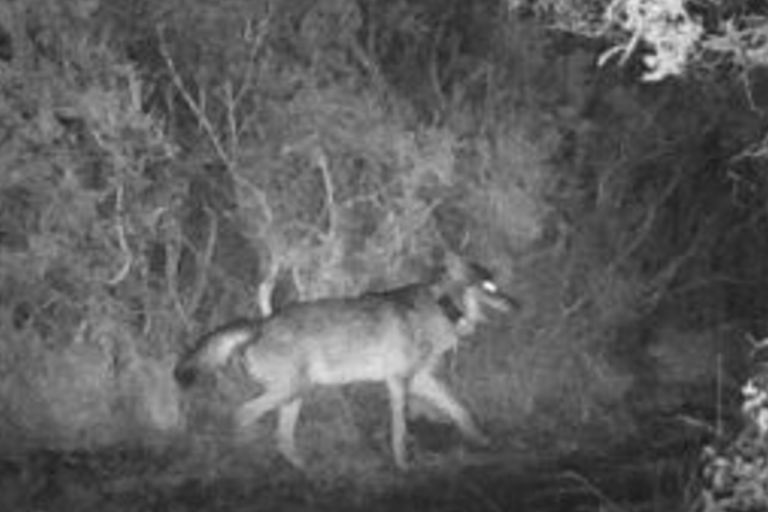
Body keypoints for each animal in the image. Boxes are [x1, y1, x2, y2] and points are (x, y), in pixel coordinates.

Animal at [174, 255, 519, 469]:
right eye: (488, 287)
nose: (516, 304)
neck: (442, 306)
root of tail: (260, 323)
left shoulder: (420, 379)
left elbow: (461, 409)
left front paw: (482, 440)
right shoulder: (399, 382)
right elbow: (400, 429)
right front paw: (403, 464)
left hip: (296, 395)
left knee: (282, 439)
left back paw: (307, 469)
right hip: (289, 392)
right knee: (241, 415)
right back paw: (248, 458)